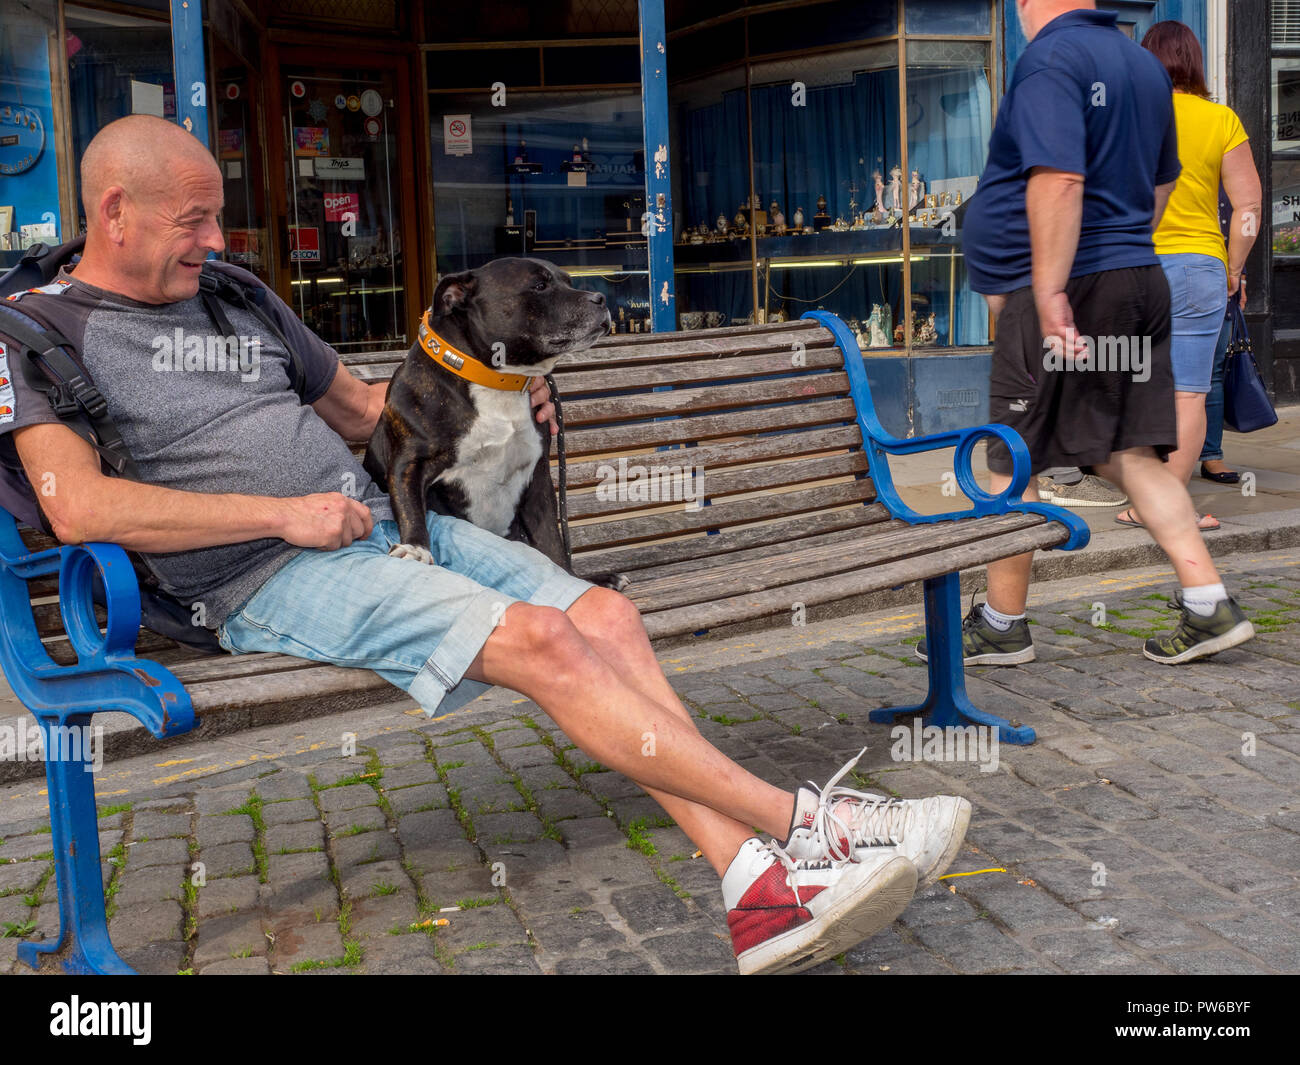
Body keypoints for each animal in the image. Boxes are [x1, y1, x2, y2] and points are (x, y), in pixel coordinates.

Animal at [361, 258, 624, 590]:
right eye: (540, 285)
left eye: (568, 281)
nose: (600, 298)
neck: (497, 379)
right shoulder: (408, 464)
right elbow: (411, 511)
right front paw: (416, 549)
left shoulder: (538, 479)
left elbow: (552, 542)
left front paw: (573, 579)